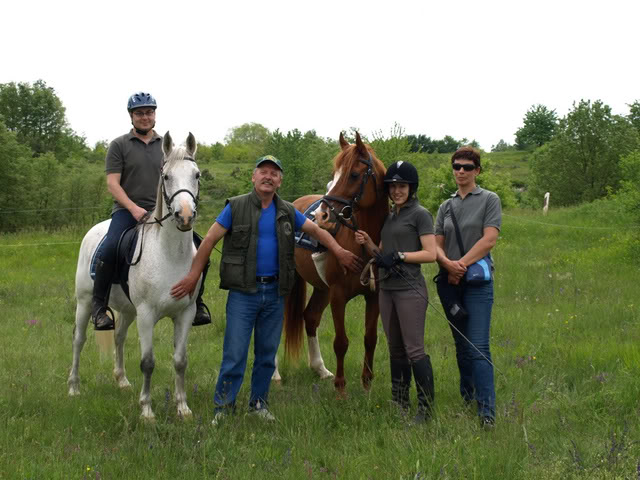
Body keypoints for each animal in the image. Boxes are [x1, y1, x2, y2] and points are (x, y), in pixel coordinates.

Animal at [69, 131, 202, 420]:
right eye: (166, 177)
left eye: (197, 175)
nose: (185, 216)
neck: (170, 254)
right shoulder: (147, 314)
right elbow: (148, 362)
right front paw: (147, 411)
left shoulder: (185, 313)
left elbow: (180, 361)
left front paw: (183, 408)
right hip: (85, 303)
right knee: (78, 340)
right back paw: (73, 387)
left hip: (128, 310)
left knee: (119, 337)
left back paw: (121, 381)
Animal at [284, 133, 384, 392]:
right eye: (333, 175)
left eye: (354, 175)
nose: (322, 216)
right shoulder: (338, 295)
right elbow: (341, 342)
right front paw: (340, 388)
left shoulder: (374, 296)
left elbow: (370, 339)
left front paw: (367, 384)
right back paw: (276, 375)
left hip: (322, 289)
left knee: (310, 318)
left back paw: (320, 369)